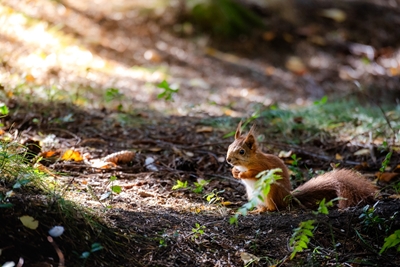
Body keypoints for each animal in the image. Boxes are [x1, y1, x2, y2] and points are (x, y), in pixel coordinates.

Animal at [227, 122, 376, 213]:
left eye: (242, 151)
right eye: (229, 146)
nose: (228, 160)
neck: (247, 163)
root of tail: (287, 199)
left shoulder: (263, 167)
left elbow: (255, 173)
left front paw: (242, 175)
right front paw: (234, 172)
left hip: (270, 193)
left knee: (275, 207)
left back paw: (268, 209)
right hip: (253, 196)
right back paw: (257, 210)